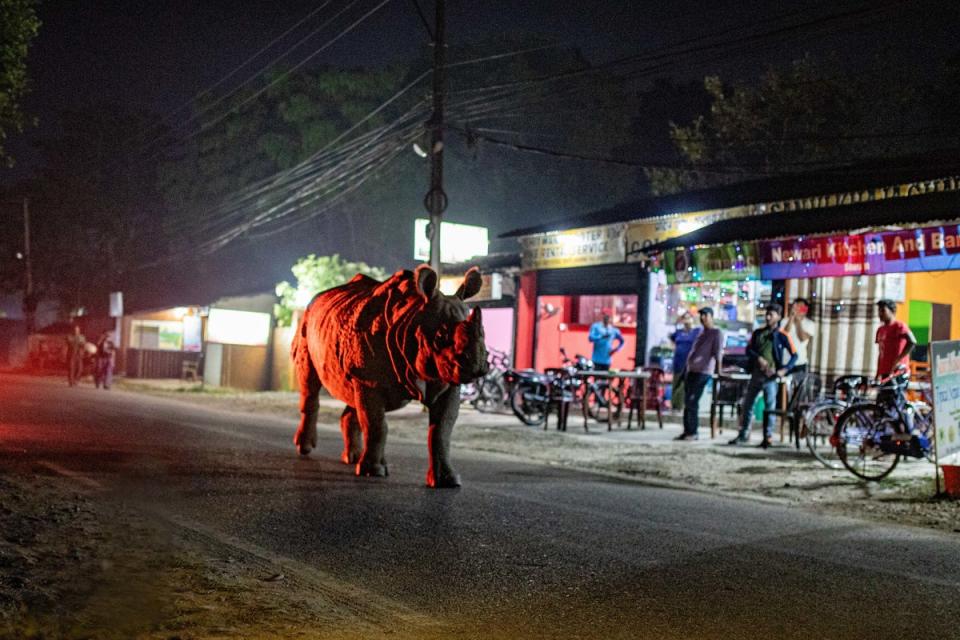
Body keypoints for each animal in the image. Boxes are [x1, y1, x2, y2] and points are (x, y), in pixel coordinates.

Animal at [290, 262, 488, 488]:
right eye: (440, 337)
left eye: (483, 332)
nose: (477, 367)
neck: (412, 316)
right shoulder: (370, 380)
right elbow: (376, 425)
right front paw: (373, 471)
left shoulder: (446, 381)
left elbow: (442, 430)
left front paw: (448, 481)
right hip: (306, 325)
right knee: (310, 383)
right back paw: (305, 448)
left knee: (352, 395)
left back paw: (353, 458)